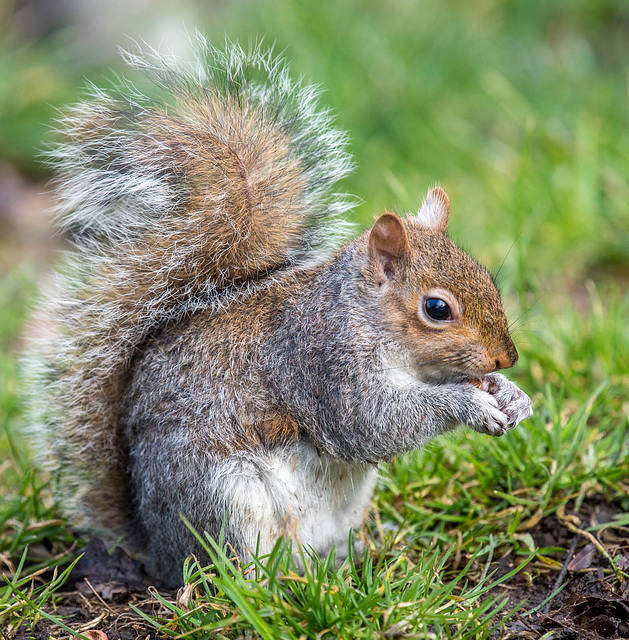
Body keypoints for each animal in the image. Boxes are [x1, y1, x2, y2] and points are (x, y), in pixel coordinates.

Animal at [27, 35, 532, 584]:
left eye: (488, 279)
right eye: (437, 308)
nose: (506, 358)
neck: (363, 318)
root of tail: (157, 549)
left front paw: (511, 395)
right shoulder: (320, 363)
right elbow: (370, 423)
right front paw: (467, 404)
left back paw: (349, 562)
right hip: (225, 501)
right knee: (225, 573)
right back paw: (275, 586)